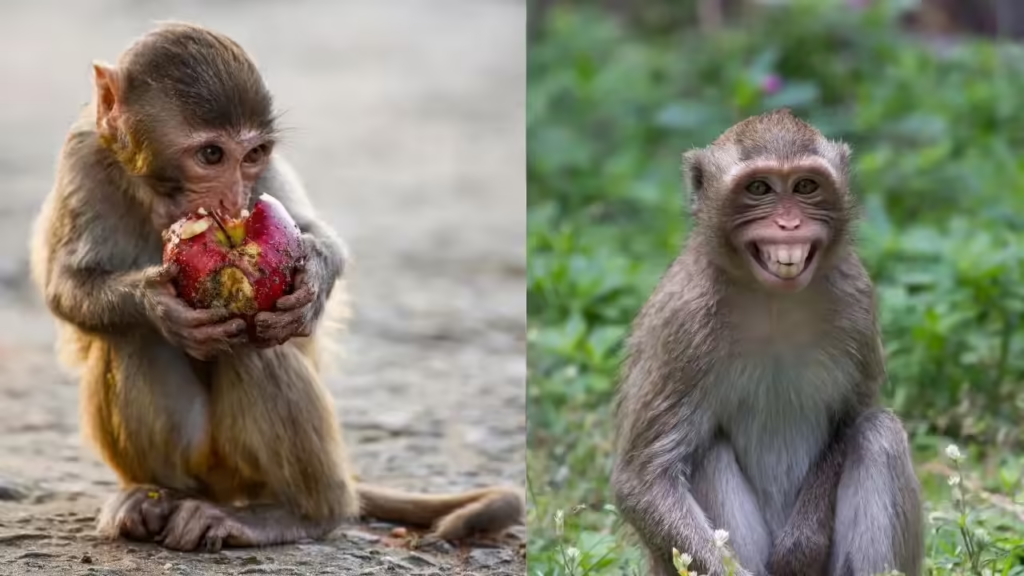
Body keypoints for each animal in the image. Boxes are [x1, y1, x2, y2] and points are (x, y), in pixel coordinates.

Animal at [28, 22, 524, 552]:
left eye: (253, 155)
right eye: (210, 154)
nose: (232, 202)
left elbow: (314, 233)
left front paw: (312, 284)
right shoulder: (82, 156)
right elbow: (67, 286)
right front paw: (158, 306)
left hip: (244, 470)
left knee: (254, 343)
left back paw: (302, 514)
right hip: (202, 463)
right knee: (136, 338)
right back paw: (156, 497)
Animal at [609, 109, 923, 576]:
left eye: (806, 186)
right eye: (759, 188)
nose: (789, 224)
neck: (774, 301)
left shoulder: (856, 297)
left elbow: (852, 418)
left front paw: (802, 544)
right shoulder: (681, 322)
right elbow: (644, 479)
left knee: (877, 432)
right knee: (707, 451)